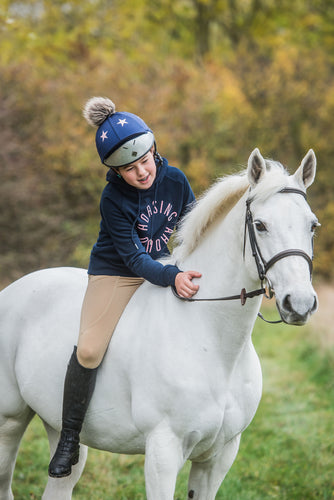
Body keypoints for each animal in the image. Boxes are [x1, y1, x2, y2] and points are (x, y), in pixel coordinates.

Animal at [0, 149, 318, 500]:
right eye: (260, 225)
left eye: (312, 226)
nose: (299, 304)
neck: (210, 342)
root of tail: (13, 289)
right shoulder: (163, 453)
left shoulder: (219, 457)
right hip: (9, 423)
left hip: (58, 429)